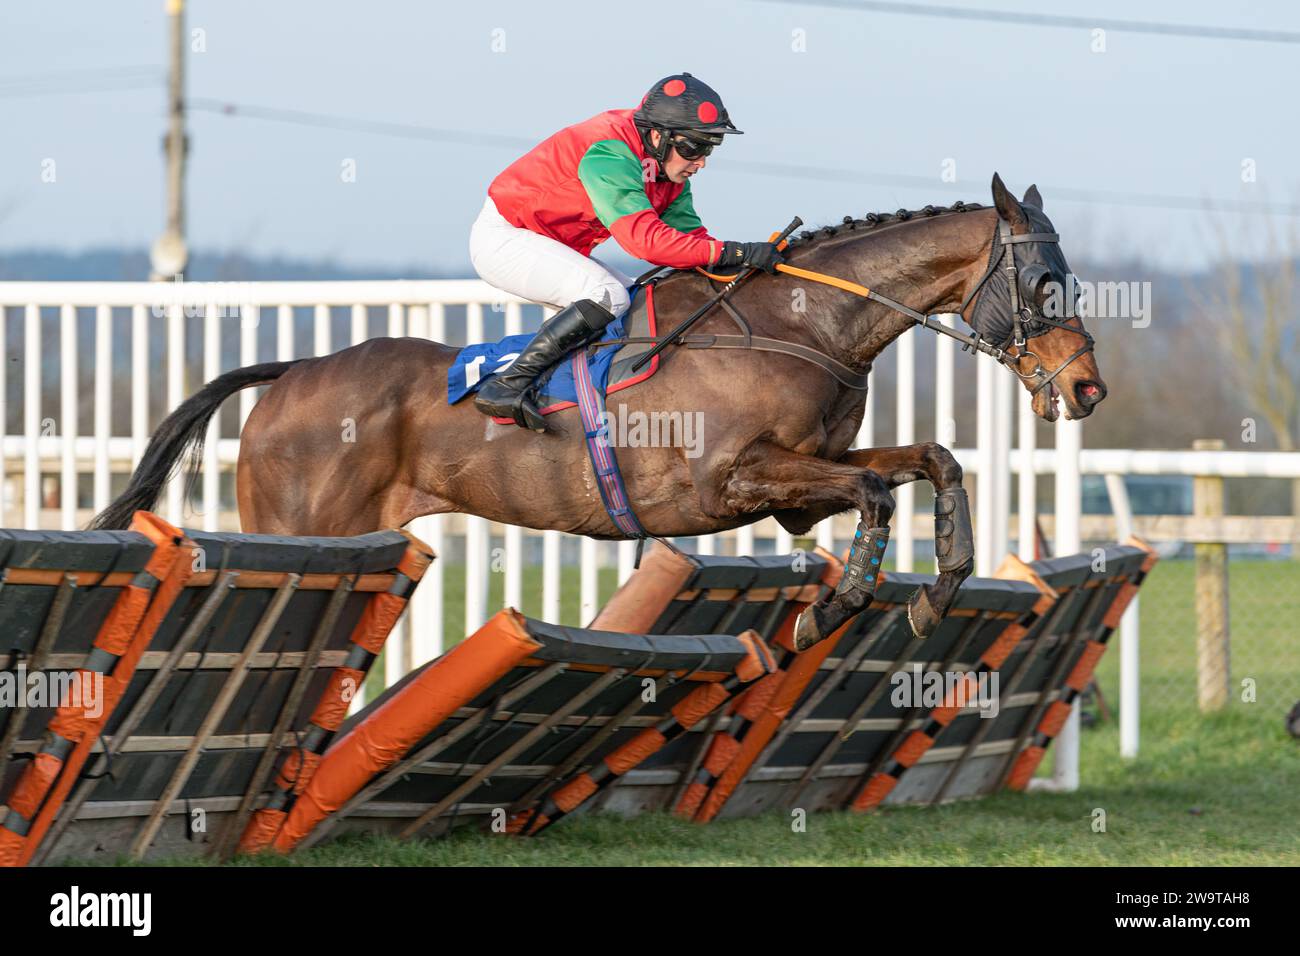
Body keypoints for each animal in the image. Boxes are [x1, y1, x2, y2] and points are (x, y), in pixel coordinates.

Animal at [91, 174, 1107, 650]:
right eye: (1044, 283)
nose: (1088, 389)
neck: (800, 324)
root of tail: (296, 370)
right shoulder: (733, 481)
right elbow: (877, 495)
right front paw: (832, 610)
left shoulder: (794, 489)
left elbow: (932, 462)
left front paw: (938, 591)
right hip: (304, 528)